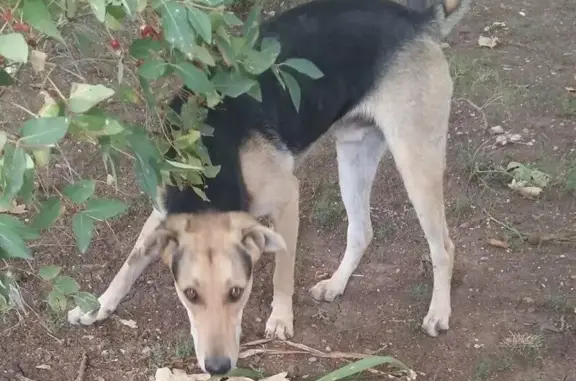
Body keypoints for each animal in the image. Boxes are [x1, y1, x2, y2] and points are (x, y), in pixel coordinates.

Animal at [68, 0, 472, 374]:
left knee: (444, 246)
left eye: (237, 293)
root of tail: (416, 19)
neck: (210, 162)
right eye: (189, 294)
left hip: (416, 160)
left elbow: (283, 270)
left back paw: (438, 312)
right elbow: (131, 260)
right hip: (354, 156)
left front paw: (280, 319)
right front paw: (98, 306)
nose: (218, 368)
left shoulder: (287, 199)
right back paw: (336, 284)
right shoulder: (163, 208)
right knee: (362, 230)